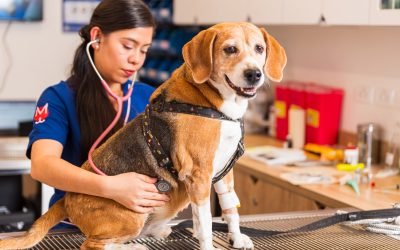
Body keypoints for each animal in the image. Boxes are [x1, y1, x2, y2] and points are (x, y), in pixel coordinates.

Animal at [0, 22, 288, 250]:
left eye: (259, 49)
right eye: (230, 49)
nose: (254, 74)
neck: (216, 104)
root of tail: (68, 199)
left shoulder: (224, 173)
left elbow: (229, 211)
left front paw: (236, 238)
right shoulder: (199, 174)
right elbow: (206, 223)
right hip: (132, 214)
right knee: (92, 245)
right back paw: (134, 246)